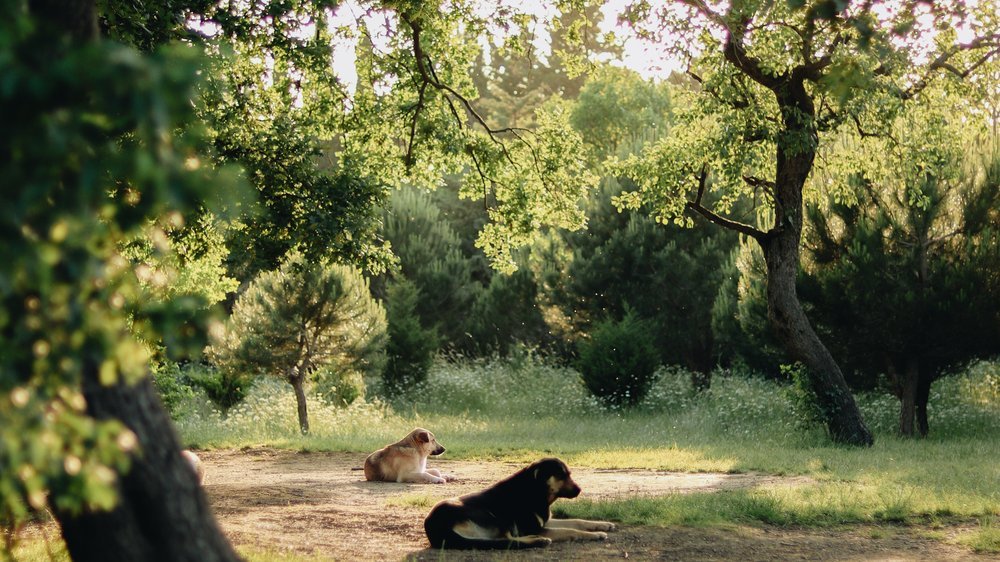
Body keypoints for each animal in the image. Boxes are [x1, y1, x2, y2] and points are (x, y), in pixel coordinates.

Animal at [420, 456, 608, 548]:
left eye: (569, 474)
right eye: (561, 475)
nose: (579, 490)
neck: (536, 490)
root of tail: (434, 525)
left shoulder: (544, 522)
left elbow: (576, 521)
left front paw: (603, 525)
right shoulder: (535, 527)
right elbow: (570, 530)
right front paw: (595, 535)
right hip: (493, 518)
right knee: (507, 541)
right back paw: (538, 541)